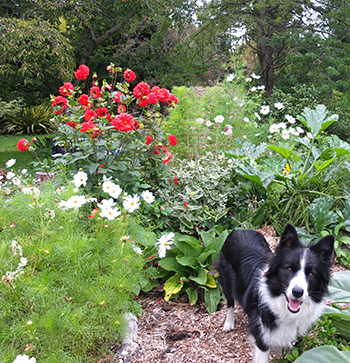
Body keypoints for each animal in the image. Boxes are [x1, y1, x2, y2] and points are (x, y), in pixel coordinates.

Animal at [216, 225, 334, 363]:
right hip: (226, 279)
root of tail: (239, 229)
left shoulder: (297, 336)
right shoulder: (262, 338)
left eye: (311, 274)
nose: (297, 292)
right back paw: (229, 323)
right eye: (289, 269)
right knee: (230, 301)